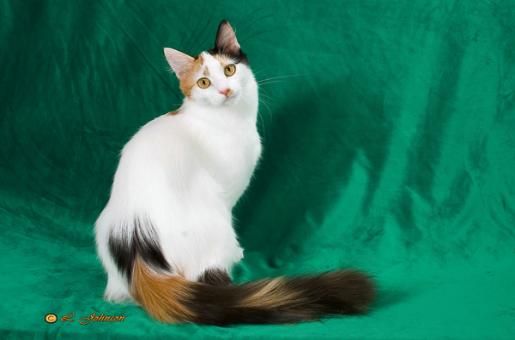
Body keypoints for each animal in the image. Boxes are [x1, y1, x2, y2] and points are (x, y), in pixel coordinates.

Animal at [93, 19, 374, 326]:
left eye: (229, 70)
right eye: (204, 82)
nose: (225, 91)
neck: (231, 120)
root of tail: (137, 249)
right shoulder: (229, 192)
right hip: (216, 222)